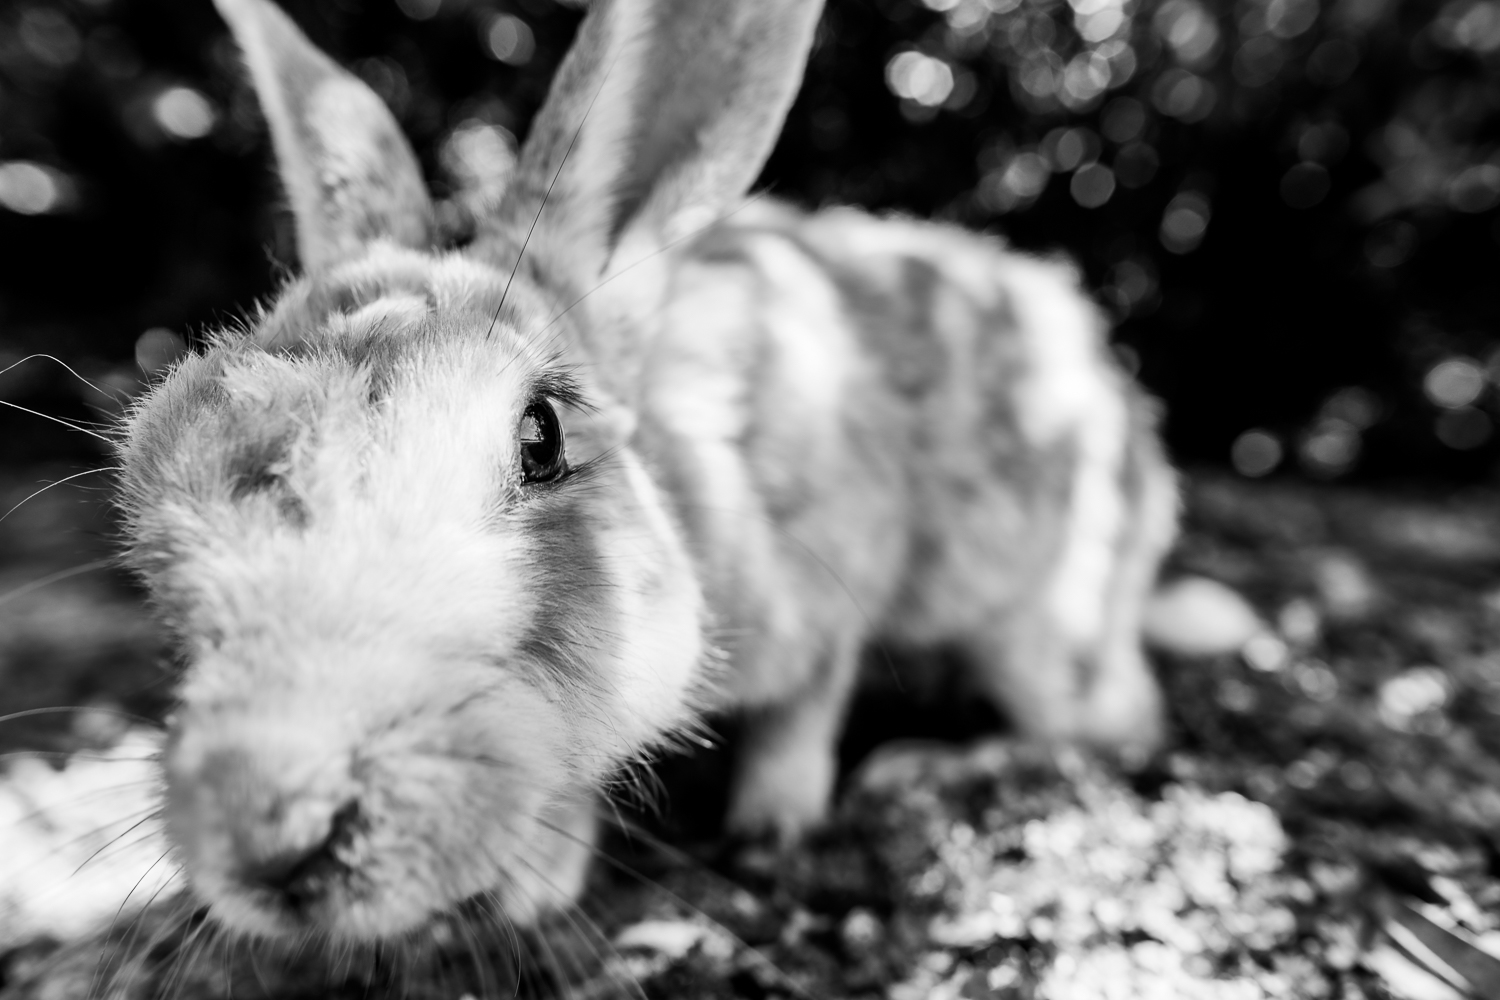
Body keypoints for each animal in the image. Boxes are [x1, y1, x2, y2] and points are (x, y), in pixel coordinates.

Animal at [111, 0, 1176, 953]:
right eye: (158, 483)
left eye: (541, 437)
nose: (262, 836)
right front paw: (533, 884)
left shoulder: (827, 589)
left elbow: (805, 709)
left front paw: (772, 821)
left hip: (1037, 618)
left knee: (1112, 723)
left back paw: (925, 767)